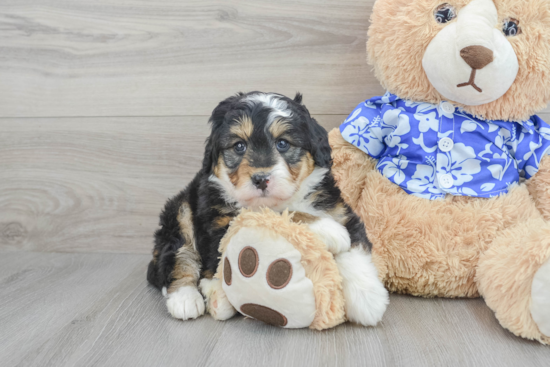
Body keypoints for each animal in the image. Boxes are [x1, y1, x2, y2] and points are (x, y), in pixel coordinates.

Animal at [147, 93, 388, 326]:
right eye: (239, 146)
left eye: (282, 143)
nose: (261, 179)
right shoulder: (223, 220)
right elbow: (278, 215)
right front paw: (328, 229)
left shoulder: (338, 209)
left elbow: (353, 248)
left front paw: (368, 300)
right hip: (181, 210)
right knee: (177, 255)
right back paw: (188, 299)